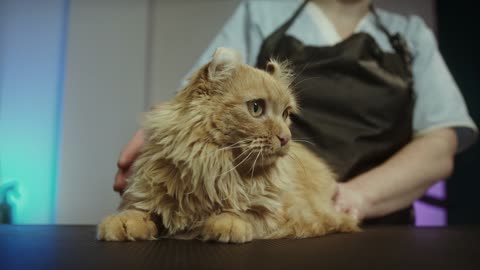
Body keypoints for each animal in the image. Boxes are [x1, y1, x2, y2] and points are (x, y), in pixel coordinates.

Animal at [96, 47, 360, 244]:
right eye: (256, 108)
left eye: (286, 114)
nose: (285, 137)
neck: (213, 166)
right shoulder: (150, 192)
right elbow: (140, 210)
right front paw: (122, 222)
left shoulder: (280, 215)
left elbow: (243, 213)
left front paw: (225, 224)